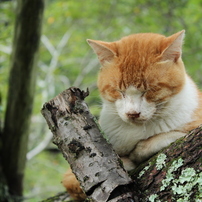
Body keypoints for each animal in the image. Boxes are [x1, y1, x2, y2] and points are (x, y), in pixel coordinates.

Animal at [61, 30, 202, 200]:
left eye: (150, 90)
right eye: (119, 91)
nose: (132, 113)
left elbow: (165, 136)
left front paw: (140, 150)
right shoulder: (71, 176)